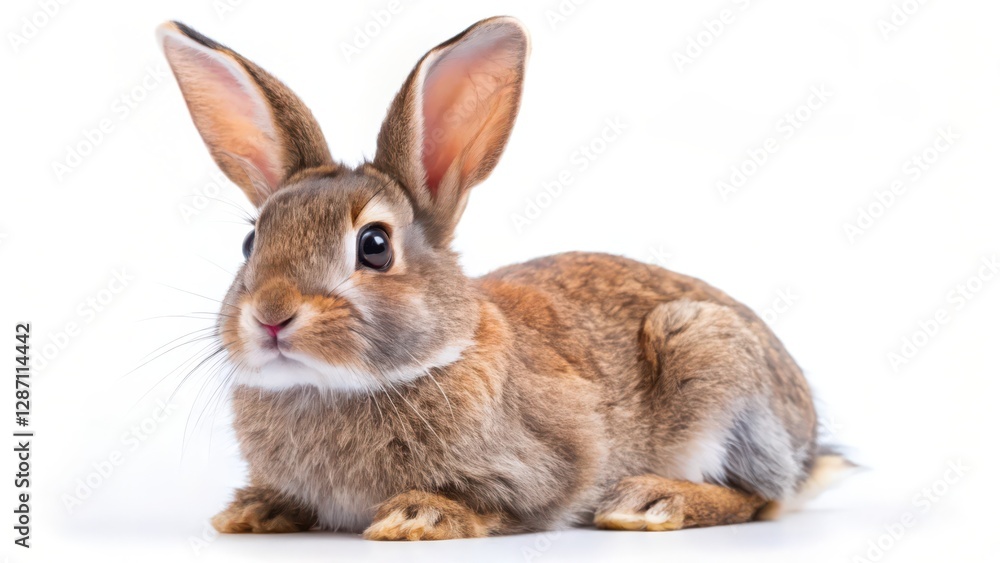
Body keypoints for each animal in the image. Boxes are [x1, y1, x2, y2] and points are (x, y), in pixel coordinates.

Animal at [157, 16, 849, 540]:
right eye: (251, 242)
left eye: (374, 246)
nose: (271, 315)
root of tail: (810, 444)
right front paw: (252, 510)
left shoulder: (547, 463)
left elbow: (504, 502)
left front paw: (419, 516)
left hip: (713, 363)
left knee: (760, 497)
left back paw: (651, 502)